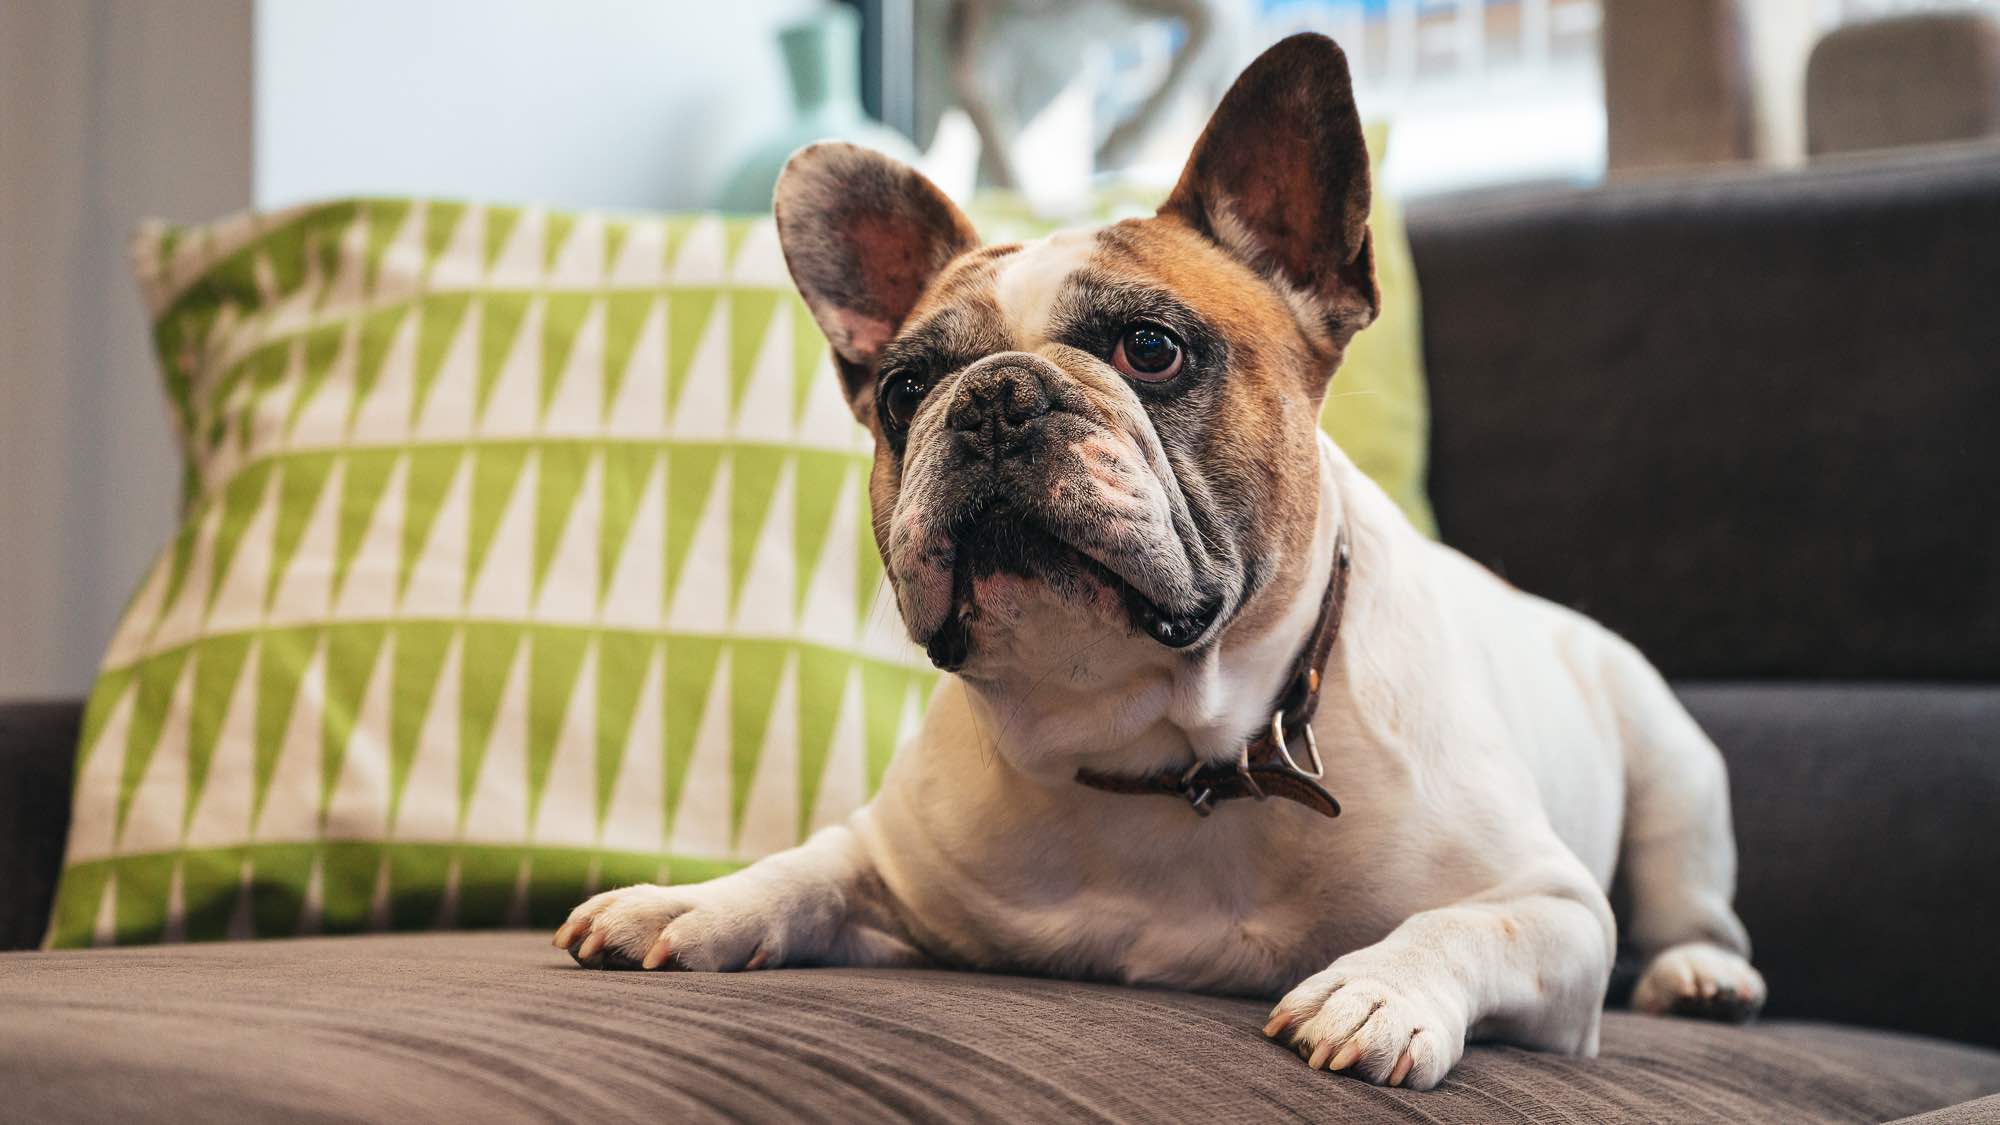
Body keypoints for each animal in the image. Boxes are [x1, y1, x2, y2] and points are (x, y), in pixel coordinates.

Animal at [556, 32, 1760, 1088]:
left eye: (1150, 350)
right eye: (905, 389)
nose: (993, 397)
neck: (1156, 749)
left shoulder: (1553, 907)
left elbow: (1464, 926)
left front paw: (1377, 990)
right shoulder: (894, 869)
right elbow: (805, 867)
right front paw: (690, 901)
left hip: (1674, 771)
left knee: (1691, 903)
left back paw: (1703, 977)